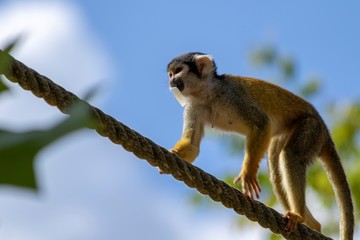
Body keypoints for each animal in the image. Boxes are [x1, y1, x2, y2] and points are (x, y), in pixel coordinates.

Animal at [166, 52, 354, 238]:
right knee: (277, 174)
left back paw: (298, 216)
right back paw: (313, 225)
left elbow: (262, 124)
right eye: (170, 74)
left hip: (311, 128)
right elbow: (193, 146)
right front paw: (174, 153)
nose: (171, 81)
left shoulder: (231, 95)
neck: (206, 92)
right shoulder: (193, 106)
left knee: (290, 155)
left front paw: (247, 173)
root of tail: (324, 129)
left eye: (178, 71)